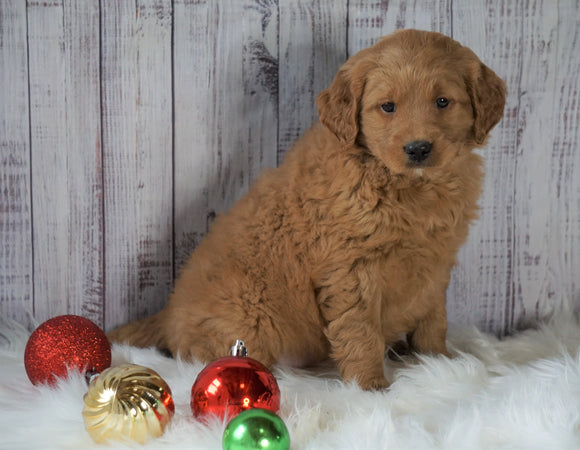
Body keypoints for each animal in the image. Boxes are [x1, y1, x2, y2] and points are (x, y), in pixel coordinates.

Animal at [110, 29, 508, 390]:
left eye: (442, 102)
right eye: (388, 107)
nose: (418, 148)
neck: (409, 186)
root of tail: (168, 311)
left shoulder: (437, 264)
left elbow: (433, 320)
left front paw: (439, 365)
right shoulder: (351, 271)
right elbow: (361, 332)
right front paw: (370, 387)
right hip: (246, 324)